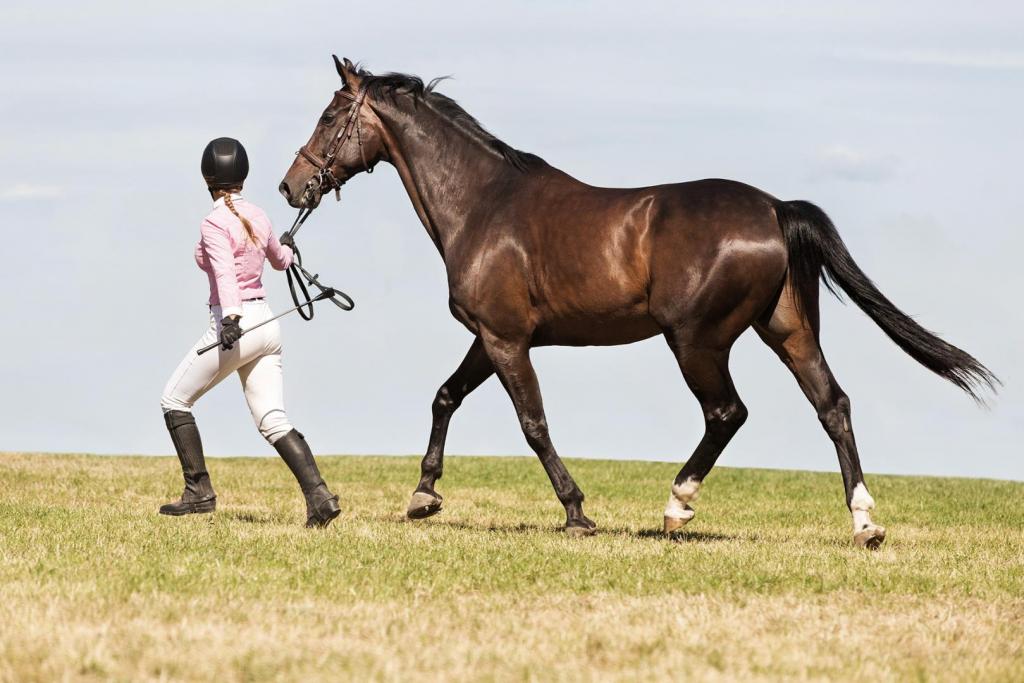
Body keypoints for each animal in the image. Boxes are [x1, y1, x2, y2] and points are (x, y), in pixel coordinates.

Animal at [278, 60, 991, 548]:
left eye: (329, 116)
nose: (291, 186)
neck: (484, 204)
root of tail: (773, 208)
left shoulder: (506, 339)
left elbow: (533, 424)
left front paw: (576, 513)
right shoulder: (489, 337)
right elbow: (445, 396)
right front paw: (424, 495)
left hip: (697, 340)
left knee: (727, 413)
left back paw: (678, 506)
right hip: (787, 332)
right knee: (832, 406)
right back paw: (864, 523)